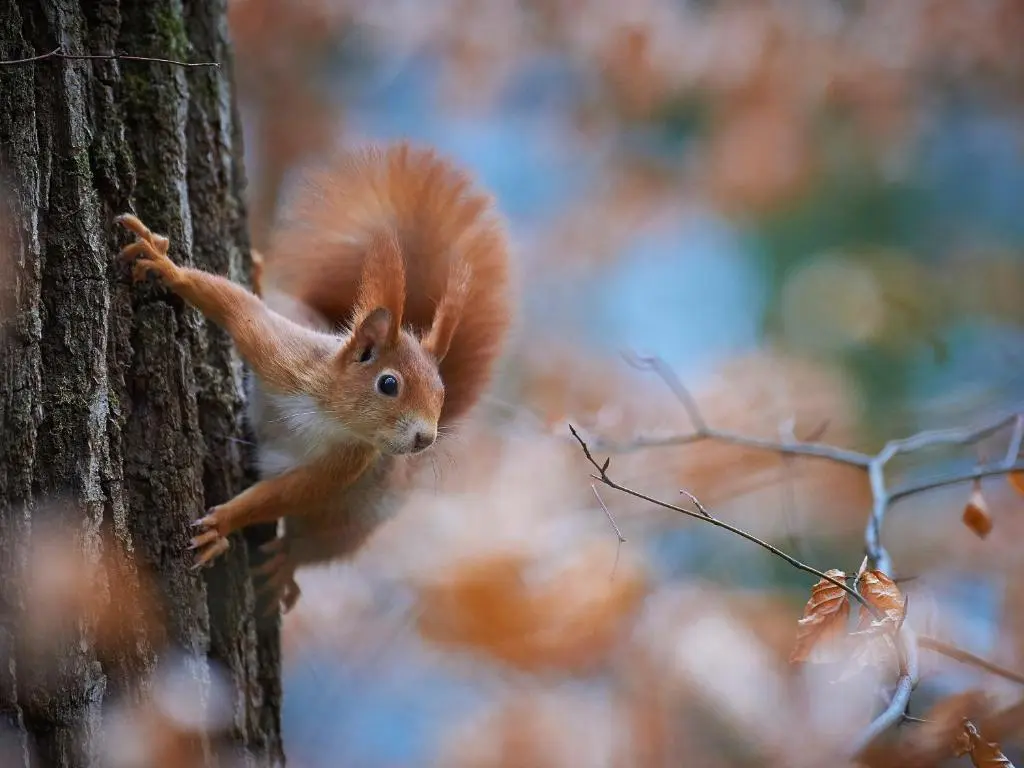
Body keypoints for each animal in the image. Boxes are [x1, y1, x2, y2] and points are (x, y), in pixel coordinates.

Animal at [116, 142, 512, 611]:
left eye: (441, 391)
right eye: (389, 384)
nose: (424, 438)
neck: (331, 413)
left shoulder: (348, 463)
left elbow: (287, 494)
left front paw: (223, 523)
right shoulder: (281, 355)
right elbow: (234, 307)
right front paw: (166, 267)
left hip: (350, 518)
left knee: (315, 544)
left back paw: (287, 562)